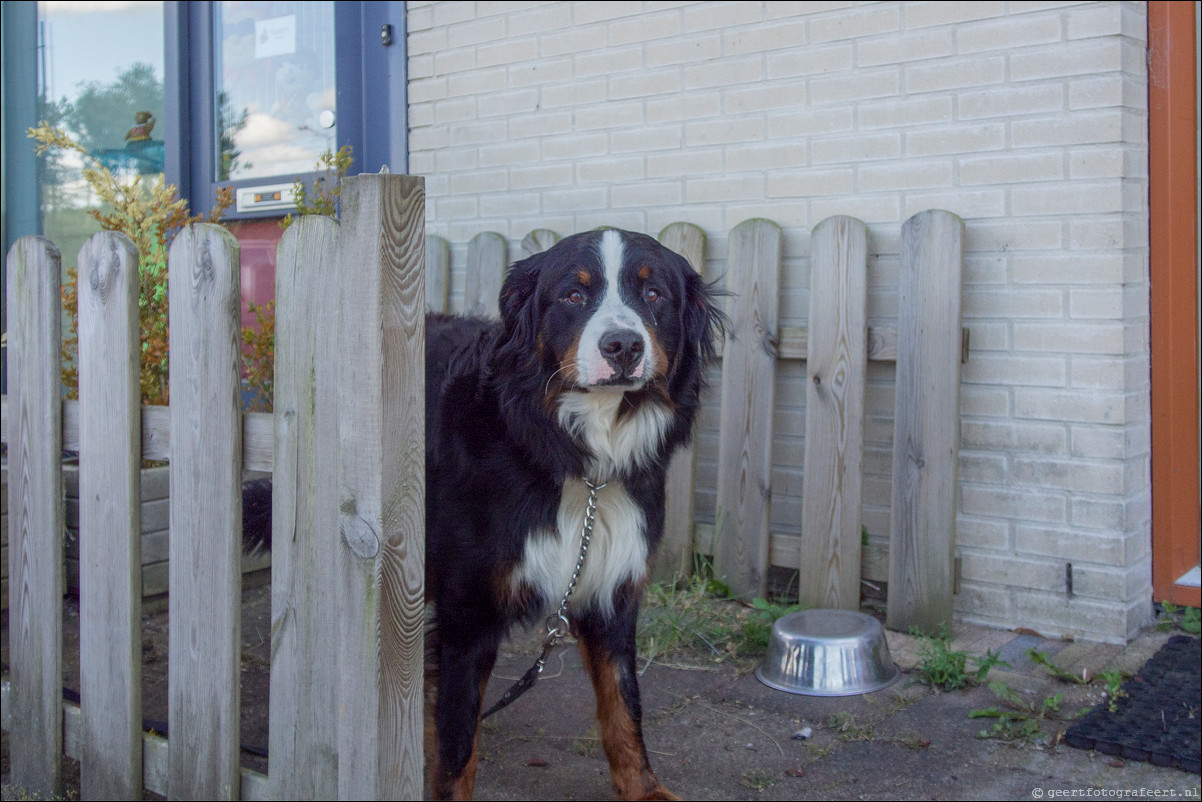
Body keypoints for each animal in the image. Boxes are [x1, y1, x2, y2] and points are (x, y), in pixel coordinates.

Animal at [427, 228, 716, 798]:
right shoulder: (465, 612)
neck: (584, 465)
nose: (622, 346)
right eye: (574, 295)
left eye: (653, 294)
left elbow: (624, 707)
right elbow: (457, 744)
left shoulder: (612, 591)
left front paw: (645, 789)